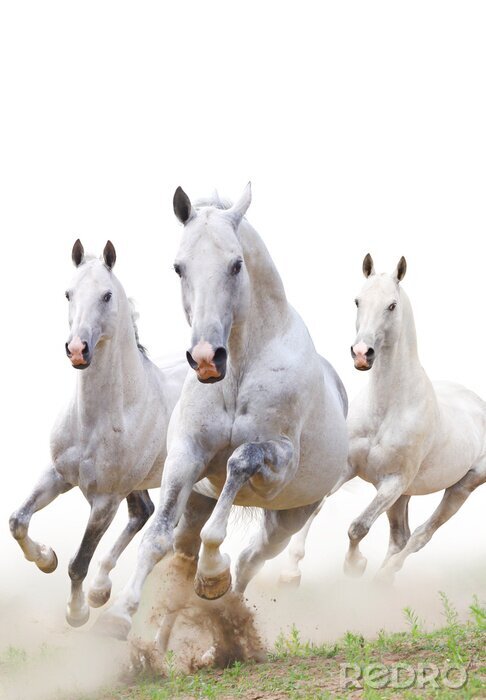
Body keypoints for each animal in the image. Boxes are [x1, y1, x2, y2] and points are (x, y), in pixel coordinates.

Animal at [9, 240, 186, 626]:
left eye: (107, 295)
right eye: (68, 293)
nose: (78, 349)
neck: (96, 420)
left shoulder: (105, 500)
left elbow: (79, 562)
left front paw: (77, 612)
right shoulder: (58, 475)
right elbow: (18, 521)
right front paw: (45, 559)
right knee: (143, 512)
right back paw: (101, 590)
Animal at [99, 184, 349, 640]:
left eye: (236, 264)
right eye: (179, 267)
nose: (206, 358)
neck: (239, 372)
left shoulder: (277, 462)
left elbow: (239, 463)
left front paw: (213, 574)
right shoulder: (185, 456)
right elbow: (156, 538)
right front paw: (117, 616)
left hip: (288, 519)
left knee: (250, 560)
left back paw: (224, 607)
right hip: (197, 505)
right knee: (183, 561)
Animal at [343, 253, 486, 582]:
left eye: (392, 305)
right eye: (357, 301)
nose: (362, 354)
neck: (385, 410)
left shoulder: (393, 482)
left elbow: (358, 527)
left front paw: (354, 566)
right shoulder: (349, 467)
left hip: (461, 487)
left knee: (420, 536)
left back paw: (383, 577)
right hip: (404, 496)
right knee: (400, 537)